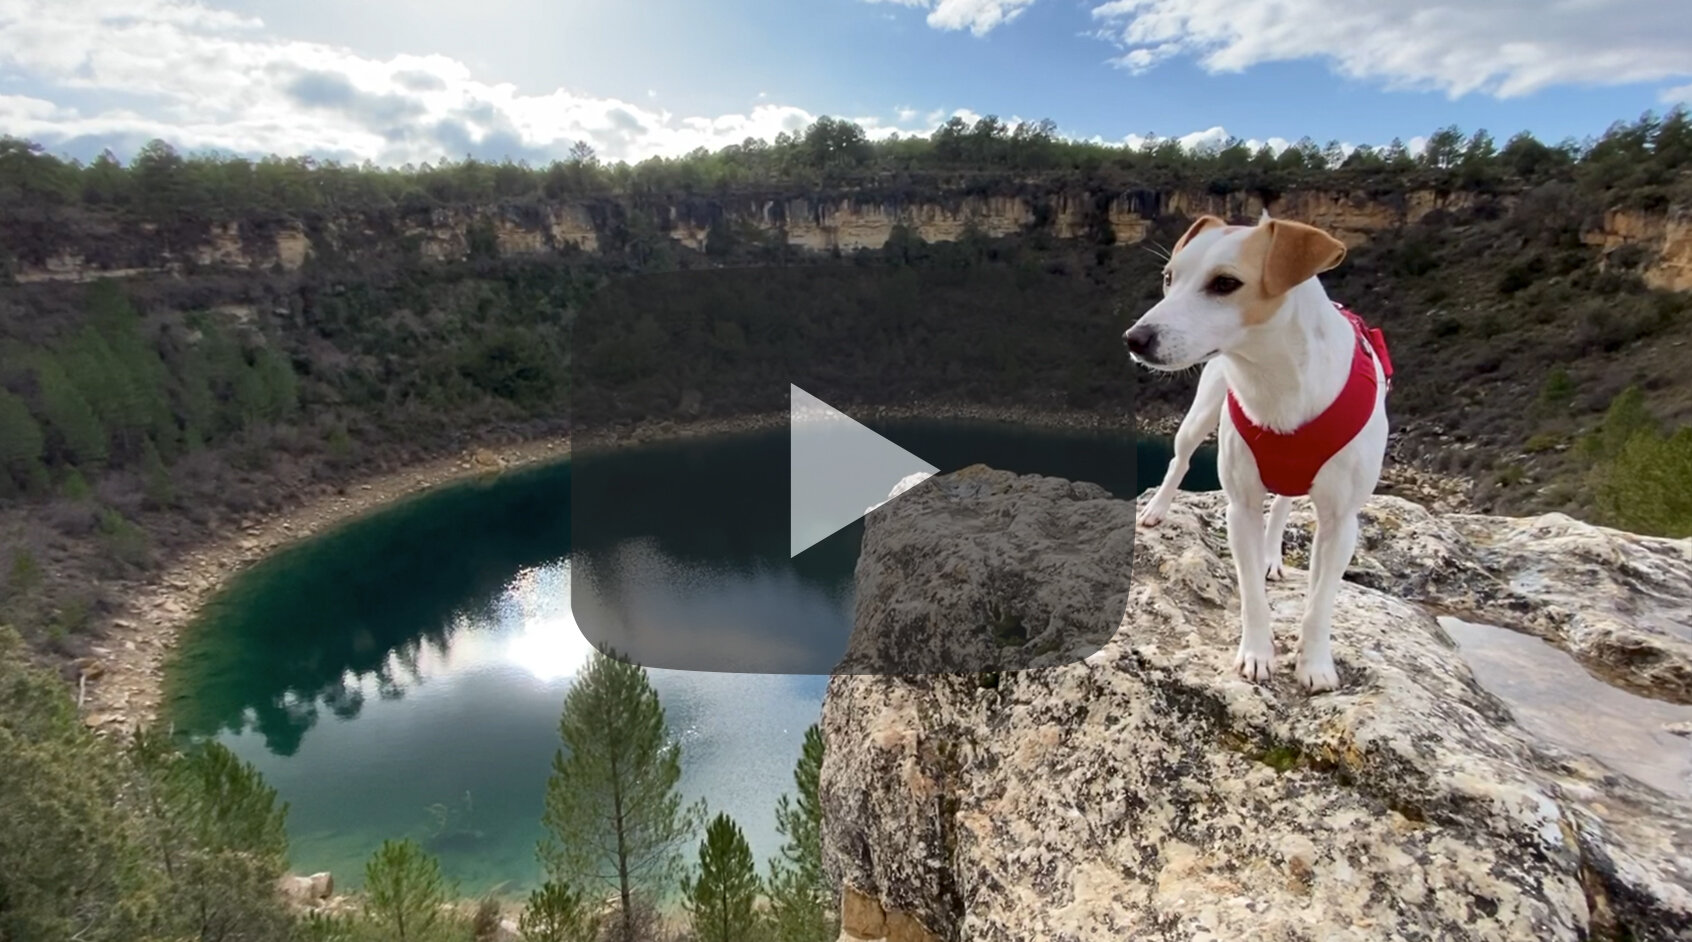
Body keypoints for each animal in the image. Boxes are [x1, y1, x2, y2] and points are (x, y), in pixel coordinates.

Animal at [1123, 216, 1387, 693]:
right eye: (1169, 278)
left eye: (1225, 283)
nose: (1135, 338)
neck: (1275, 379)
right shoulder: (1241, 507)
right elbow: (1251, 594)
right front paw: (1257, 654)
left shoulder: (1341, 523)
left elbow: (1320, 602)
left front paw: (1315, 664)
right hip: (1200, 414)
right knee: (1180, 460)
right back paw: (1156, 509)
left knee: (1282, 505)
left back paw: (1272, 557)